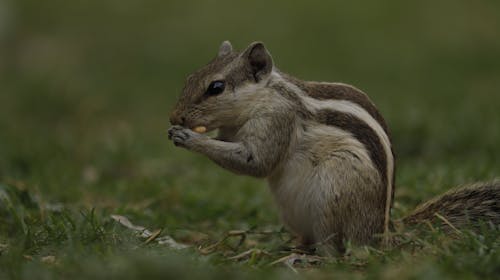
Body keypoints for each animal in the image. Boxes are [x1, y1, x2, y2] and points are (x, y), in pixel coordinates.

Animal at [168, 41, 500, 254]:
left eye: (216, 87)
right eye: (189, 77)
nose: (175, 117)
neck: (263, 97)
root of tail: (380, 233)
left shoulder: (278, 120)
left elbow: (256, 162)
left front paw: (190, 138)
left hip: (333, 196)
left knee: (335, 247)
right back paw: (290, 248)